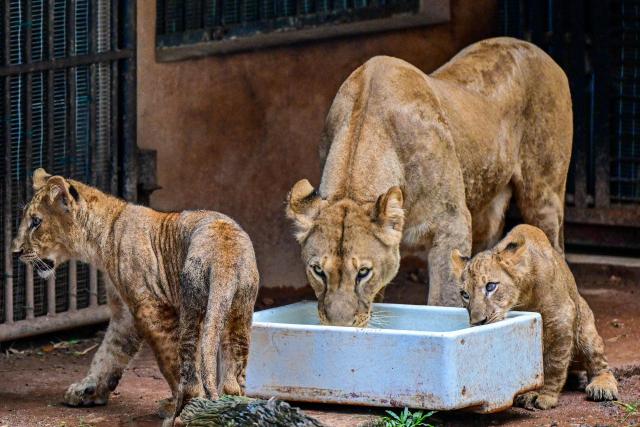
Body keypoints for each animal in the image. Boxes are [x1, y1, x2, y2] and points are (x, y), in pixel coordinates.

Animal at [11, 168, 259, 425]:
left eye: (35, 222)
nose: (15, 251)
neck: (103, 235)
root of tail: (224, 255)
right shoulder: (124, 313)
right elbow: (108, 352)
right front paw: (88, 389)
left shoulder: (151, 308)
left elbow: (170, 362)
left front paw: (172, 404)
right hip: (239, 311)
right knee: (233, 376)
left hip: (192, 308)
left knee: (190, 366)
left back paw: (182, 414)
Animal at [287, 37, 572, 326]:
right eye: (318, 270)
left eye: (363, 272)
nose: (339, 326)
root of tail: (532, 47)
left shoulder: (452, 223)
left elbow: (444, 299)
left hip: (543, 197)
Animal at [452, 224, 618, 410]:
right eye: (465, 294)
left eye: (490, 286)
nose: (478, 322)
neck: (523, 296)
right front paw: (528, 393)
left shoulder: (561, 318)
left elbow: (553, 364)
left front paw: (545, 396)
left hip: (585, 330)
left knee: (600, 363)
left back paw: (602, 386)